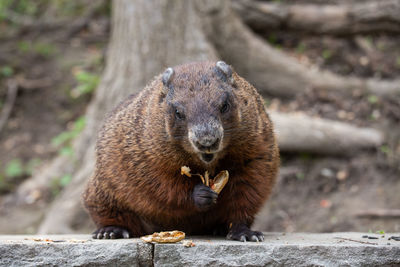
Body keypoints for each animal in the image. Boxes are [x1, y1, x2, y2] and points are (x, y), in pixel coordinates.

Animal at [83, 61, 280, 243]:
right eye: (178, 112)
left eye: (224, 105)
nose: (207, 140)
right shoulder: (146, 148)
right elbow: (158, 180)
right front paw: (199, 194)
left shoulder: (257, 140)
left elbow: (250, 181)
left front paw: (245, 232)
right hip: (102, 189)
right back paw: (111, 230)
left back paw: (220, 228)